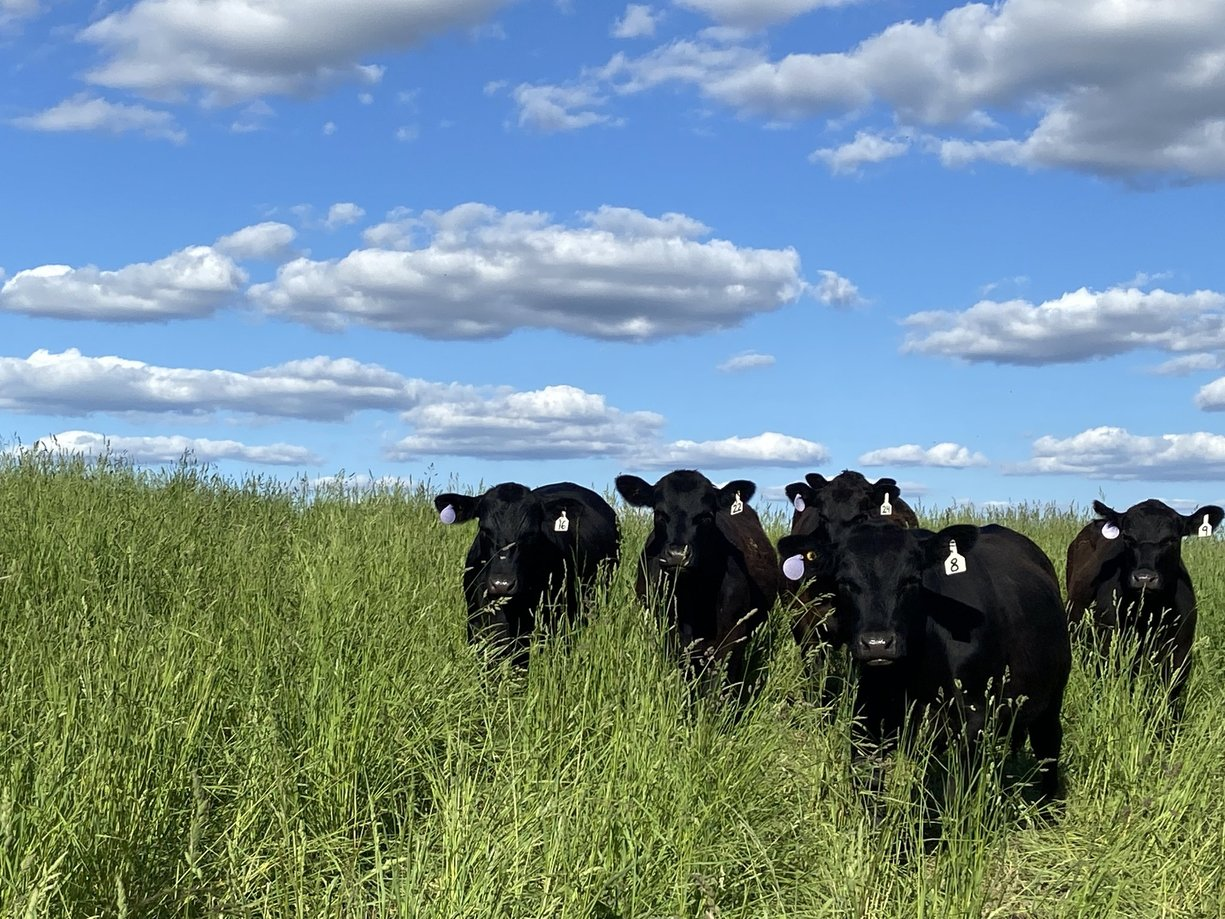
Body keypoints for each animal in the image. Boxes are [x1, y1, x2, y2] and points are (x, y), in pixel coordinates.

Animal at [615, 470, 779, 692]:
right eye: (659, 513)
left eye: (706, 516)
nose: (678, 555)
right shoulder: (668, 631)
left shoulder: (732, 634)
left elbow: (717, 685)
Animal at [778, 521, 1070, 813]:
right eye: (844, 582)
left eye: (911, 580)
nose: (877, 643)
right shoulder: (868, 715)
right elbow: (868, 786)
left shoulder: (973, 719)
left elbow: (952, 796)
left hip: (1051, 698)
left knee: (1048, 747)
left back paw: (1048, 810)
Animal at [1066, 499, 1223, 715]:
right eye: (1127, 537)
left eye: (1171, 539)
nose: (1144, 578)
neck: (1149, 612)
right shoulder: (1108, 643)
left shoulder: (1180, 652)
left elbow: (1167, 697)